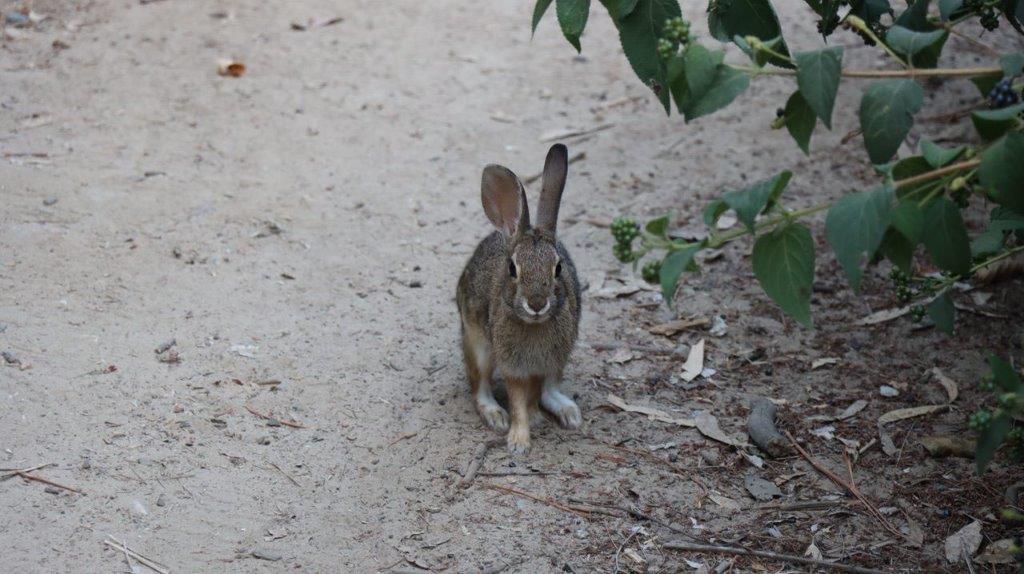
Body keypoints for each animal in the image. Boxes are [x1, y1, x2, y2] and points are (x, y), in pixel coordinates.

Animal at [458, 144, 585, 456]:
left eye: (559, 268)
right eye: (512, 269)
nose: (537, 304)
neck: (533, 326)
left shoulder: (543, 363)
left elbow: (533, 394)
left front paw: (536, 419)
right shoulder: (512, 365)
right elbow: (517, 401)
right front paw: (517, 442)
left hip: (561, 358)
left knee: (550, 389)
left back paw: (568, 412)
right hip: (478, 346)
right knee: (479, 386)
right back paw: (495, 415)